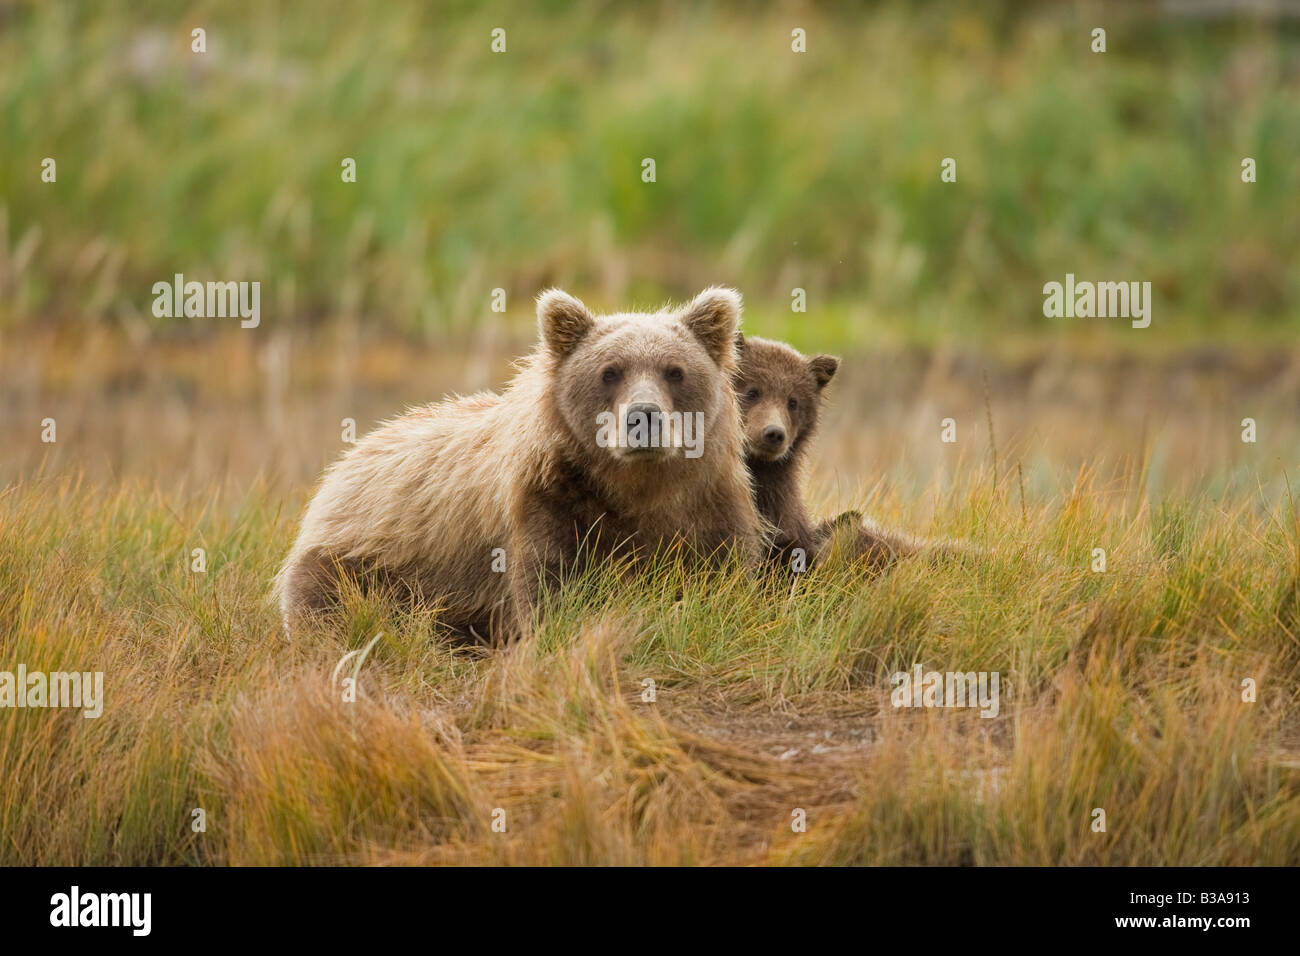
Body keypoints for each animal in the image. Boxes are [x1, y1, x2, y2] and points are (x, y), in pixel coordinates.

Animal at [274, 287, 763, 642]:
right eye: (610, 371)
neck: (639, 486)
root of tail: (342, 467)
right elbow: (553, 584)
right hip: (361, 562)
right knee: (334, 608)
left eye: (674, 371)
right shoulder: (550, 501)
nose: (644, 416)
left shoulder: (708, 500)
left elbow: (724, 572)